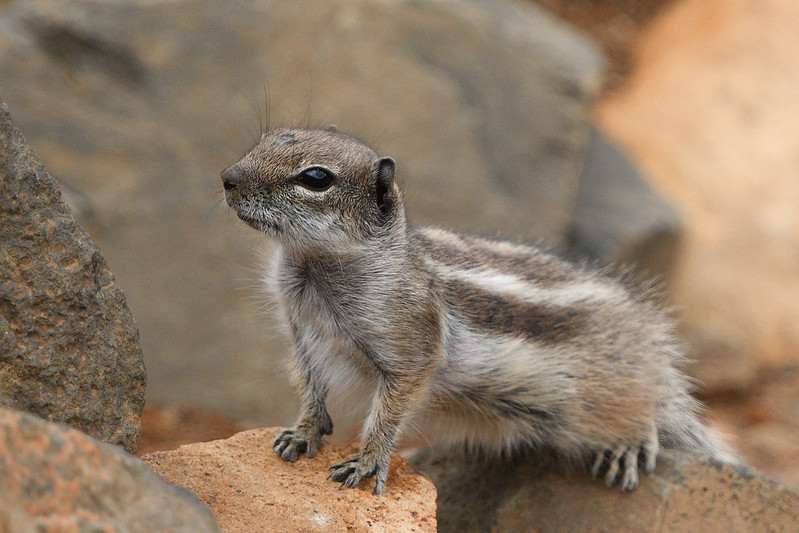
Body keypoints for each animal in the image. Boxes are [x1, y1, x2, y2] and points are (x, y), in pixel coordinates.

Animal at [222, 125, 736, 494]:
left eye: (316, 178)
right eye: (265, 139)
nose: (228, 177)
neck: (315, 269)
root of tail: (650, 336)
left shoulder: (411, 348)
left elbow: (388, 412)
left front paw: (367, 460)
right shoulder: (302, 330)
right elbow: (310, 386)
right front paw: (303, 432)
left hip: (600, 397)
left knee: (653, 407)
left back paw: (631, 443)